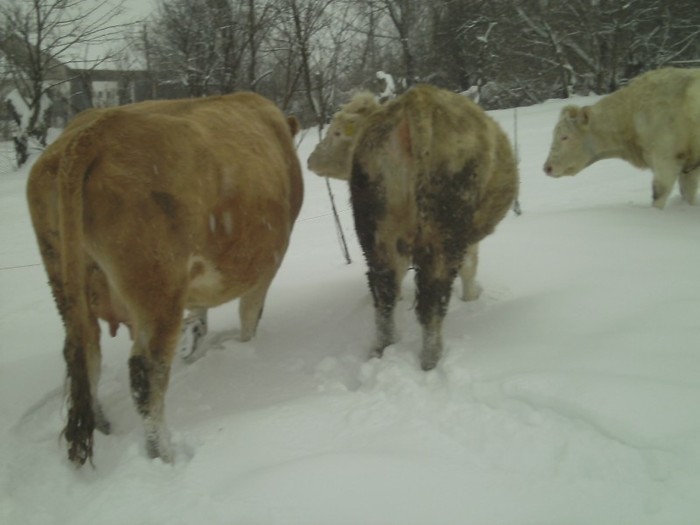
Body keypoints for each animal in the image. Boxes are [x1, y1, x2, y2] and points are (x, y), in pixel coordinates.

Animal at [27, 92, 304, 464]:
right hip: (159, 290)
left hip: (65, 282)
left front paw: (198, 341)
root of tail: (93, 132)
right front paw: (246, 350)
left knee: (84, 354)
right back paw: (164, 453)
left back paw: (103, 424)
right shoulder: (267, 266)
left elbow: (202, 316)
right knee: (146, 372)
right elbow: (249, 316)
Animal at [308, 86, 516, 370]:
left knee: (383, 290)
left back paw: (382, 348)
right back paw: (431, 359)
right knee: (432, 301)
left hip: (376, 229)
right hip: (443, 233)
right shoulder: (469, 238)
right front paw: (472, 298)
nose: (310, 160)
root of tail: (418, 98)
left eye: (337, 132)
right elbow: (470, 268)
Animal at [544, 67, 700, 209]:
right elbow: (687, 193)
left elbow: (659, 194)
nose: (547, 167)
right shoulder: (689, 166)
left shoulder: (665, 159)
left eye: (565, 137)